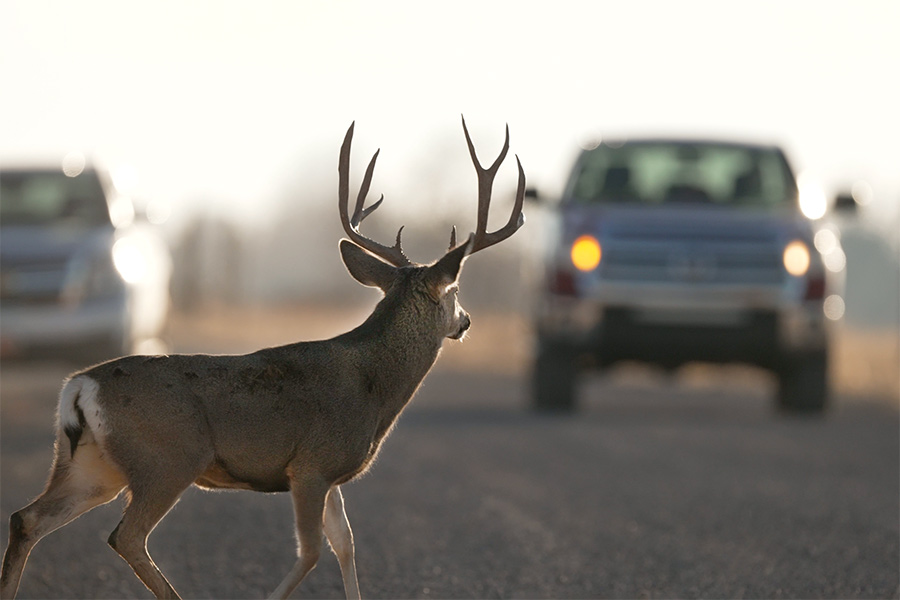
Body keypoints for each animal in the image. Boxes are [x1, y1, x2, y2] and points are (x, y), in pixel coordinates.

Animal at [0, 117, 528, 600]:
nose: (466, 321)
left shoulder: (330, 474)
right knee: (125, 536)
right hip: (168, 458)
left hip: (92, 465)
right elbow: (312, 551)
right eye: (454, 290)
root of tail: (79, 386)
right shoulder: (311, 464)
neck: (374, 387)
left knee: (27, 518)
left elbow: (346, 545)